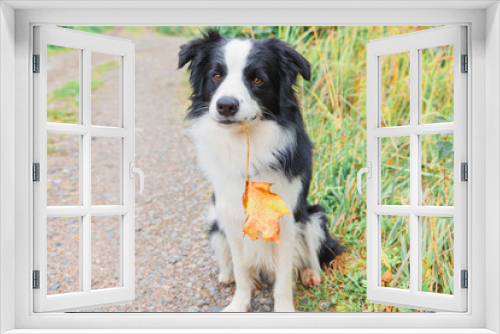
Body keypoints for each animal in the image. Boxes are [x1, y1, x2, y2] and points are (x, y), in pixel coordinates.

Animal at [179, 30, 344, 312]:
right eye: (216, 76)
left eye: (257, 79)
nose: (226, 106)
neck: (246, 145)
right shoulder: (231, 217)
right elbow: (242, 271)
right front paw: (239, 304)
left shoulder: (286, 221)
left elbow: (284, 278)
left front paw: (284, 309)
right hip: (215, 226)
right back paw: (226, 275)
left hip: (315, 217)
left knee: (311, 255)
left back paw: (311, 274)